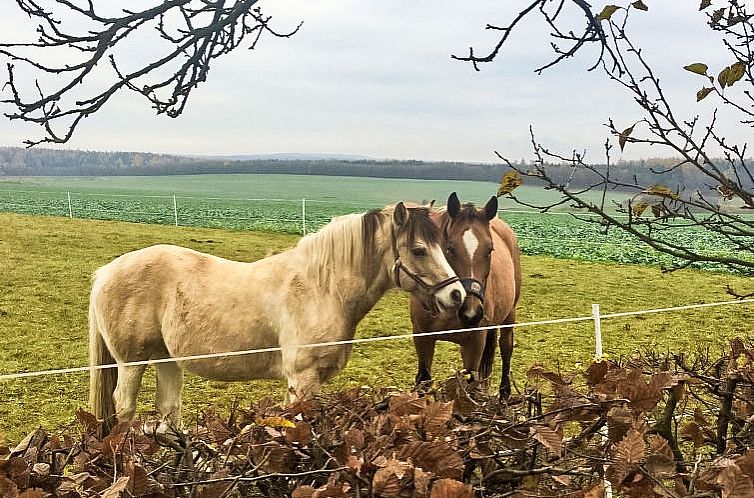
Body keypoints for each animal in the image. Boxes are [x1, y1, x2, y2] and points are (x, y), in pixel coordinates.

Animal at [408, 193, 520, 398]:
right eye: (450, 248)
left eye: (490, 250)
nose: (471, 313)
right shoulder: (422, 336)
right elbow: (423, 380)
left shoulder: (475, 342)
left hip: (510, 315)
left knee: (506, 347)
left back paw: (504, 393)